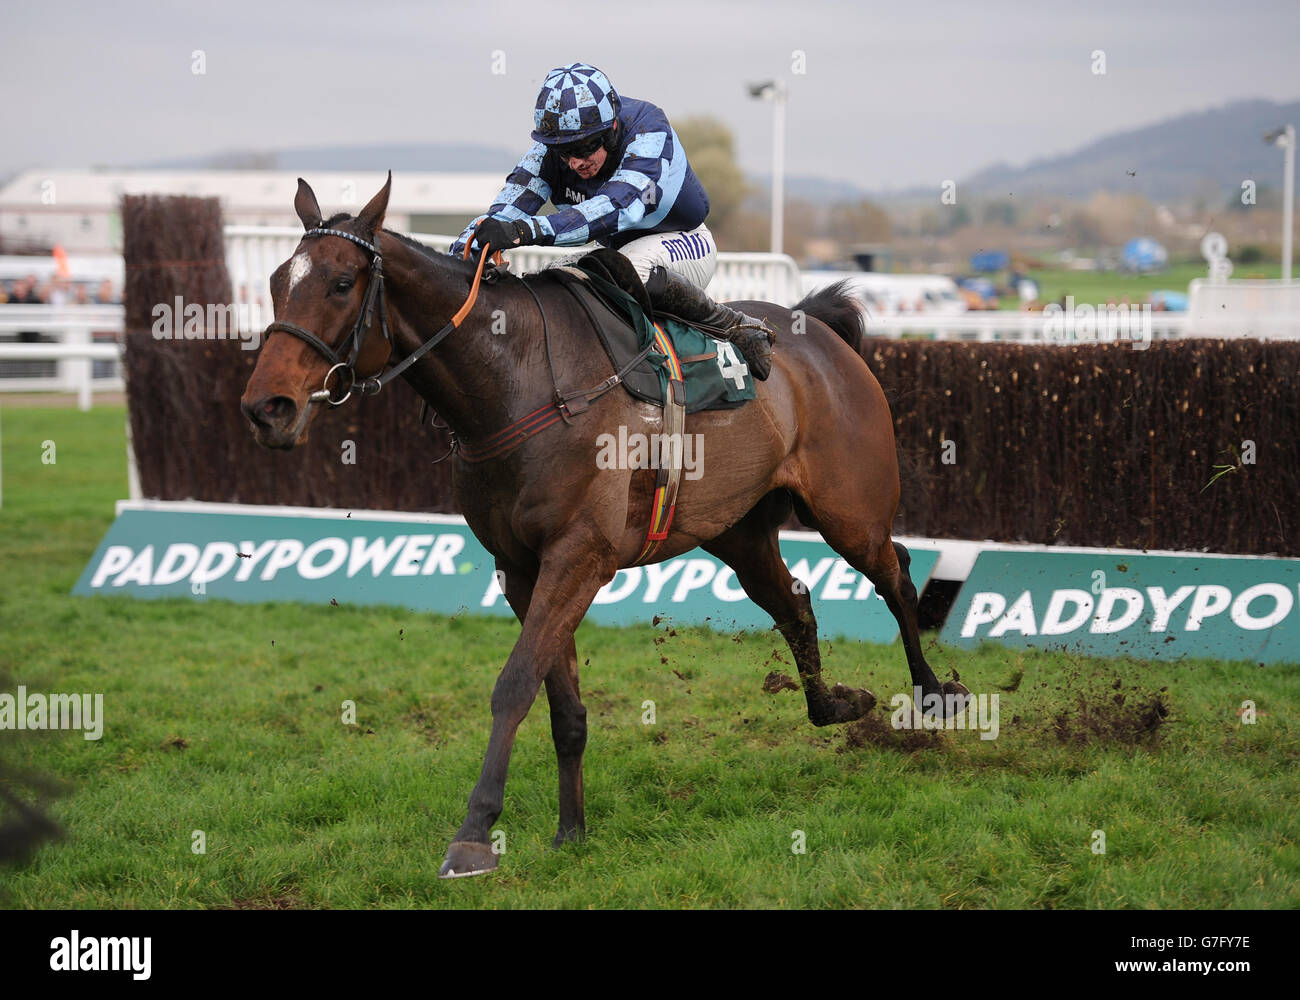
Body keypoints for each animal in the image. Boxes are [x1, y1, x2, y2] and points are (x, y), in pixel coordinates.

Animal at [239, 175, 967, 879]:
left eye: (341, 283)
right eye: (275, 281)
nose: (265, 407)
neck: (517, 382)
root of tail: (817, 323)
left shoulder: (578, 558)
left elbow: (514, 685)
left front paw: (474, 838)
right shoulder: (522, 568)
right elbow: (560, 701)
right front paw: (571, 832)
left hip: (850, 509)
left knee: (898, 579)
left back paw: (935, 695)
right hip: (738, 531)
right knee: (796, 606)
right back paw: (836, 705)